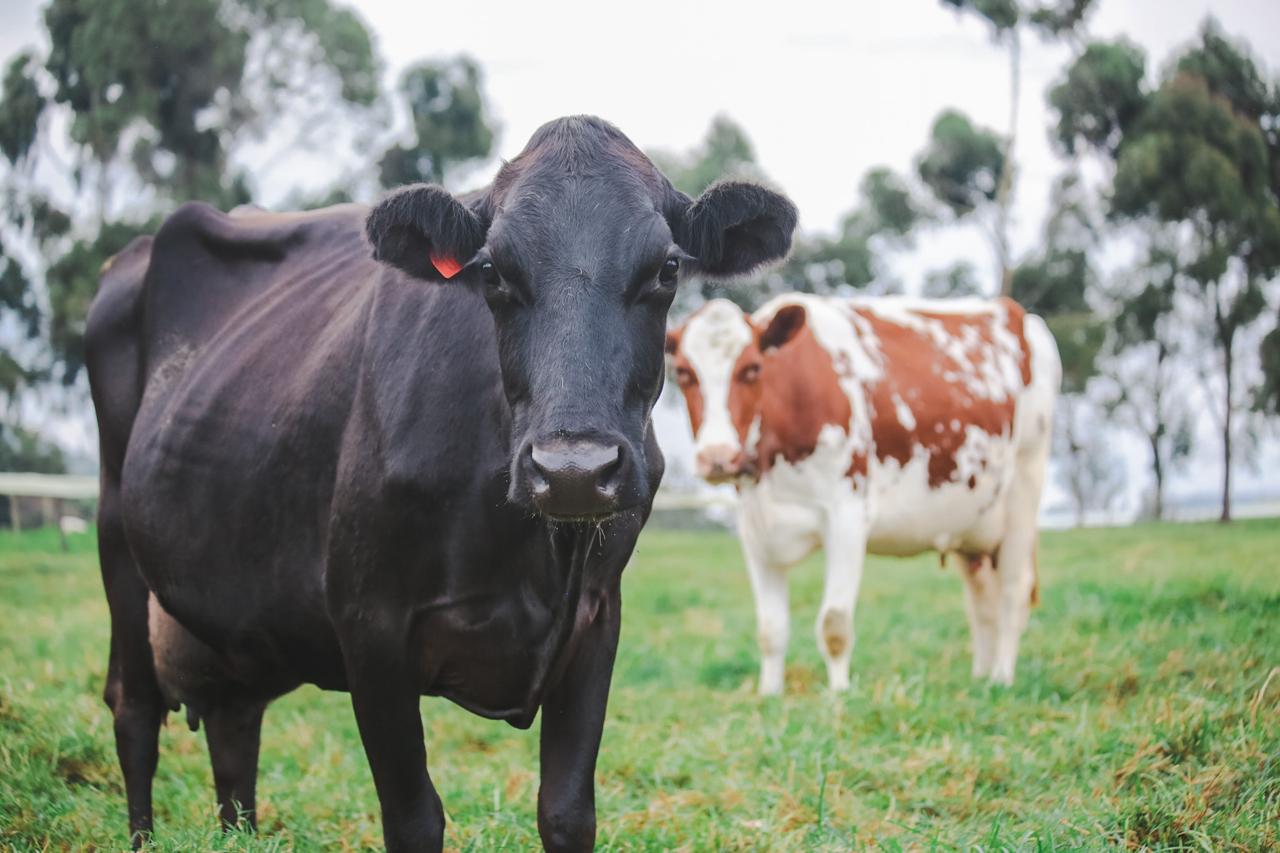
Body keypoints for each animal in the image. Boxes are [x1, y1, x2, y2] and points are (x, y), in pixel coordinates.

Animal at [85, 116, 797, 851]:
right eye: (491, 270)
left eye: (667, 268)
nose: (573, 471)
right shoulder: (367, 623)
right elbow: (414, 818)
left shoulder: (597, 618)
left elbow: (567, 811)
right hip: (117, 540)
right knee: (134, 710)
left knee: (233, 728)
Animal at [664, 294, 1059, 694]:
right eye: (683, 373)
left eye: (752, 368)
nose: (717, 457)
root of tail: (1012, 308)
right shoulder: (755, 528)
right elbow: (770, 630)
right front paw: (770, 694)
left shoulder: (847, 516)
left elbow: (834, 624)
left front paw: (839, 695)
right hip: (972, 522)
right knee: (981, 600)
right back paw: (981, 677)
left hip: (1024, 487)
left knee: (1012, 591)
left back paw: (1001, 678)